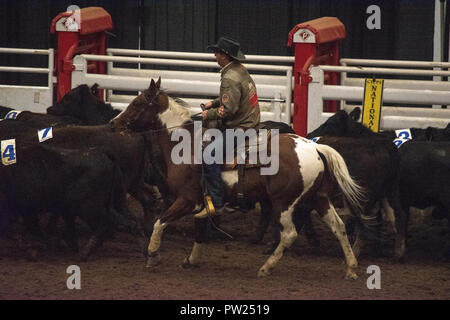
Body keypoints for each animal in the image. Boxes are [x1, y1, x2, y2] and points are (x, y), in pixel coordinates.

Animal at [110, 79, 368, 278]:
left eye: (137, 103)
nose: (114, 123)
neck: (184, 145)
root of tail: (314, 147)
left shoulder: (186, 200)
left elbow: (159, 222)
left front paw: (152, 255)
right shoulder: (202, 203)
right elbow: (200, 231)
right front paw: (191, 260)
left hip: (284, 203)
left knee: (289, 234)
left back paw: (266, 268)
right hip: (319, 198)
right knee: (338, 227)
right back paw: (351, 268)